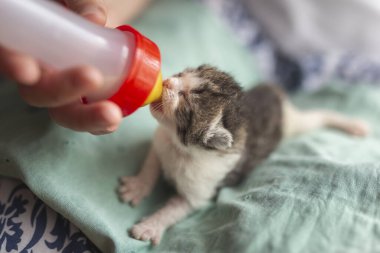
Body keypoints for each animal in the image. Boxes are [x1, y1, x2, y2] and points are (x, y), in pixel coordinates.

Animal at [118, 64, 368, 244]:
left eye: (185, 100)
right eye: (181, 74)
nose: (167, 80)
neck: (180, 148)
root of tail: (273, 91)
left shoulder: (200, 189)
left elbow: (175, 209)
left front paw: (150, 226)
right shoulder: (161, 142)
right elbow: (151, 164)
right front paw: (138, 187)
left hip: (291, 123)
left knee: (317, 117)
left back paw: (353, 125)